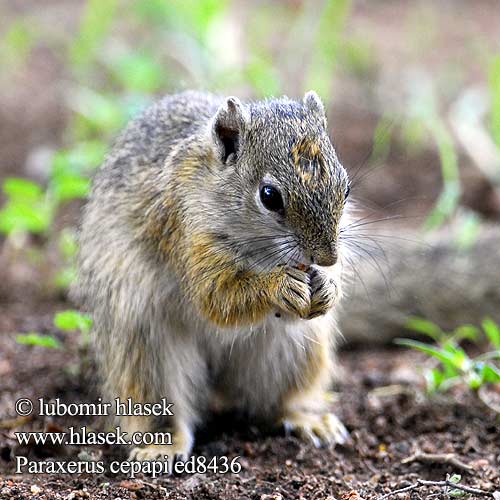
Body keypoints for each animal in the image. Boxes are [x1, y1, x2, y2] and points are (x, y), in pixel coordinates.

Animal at [76, 91, 354, 464]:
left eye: (346, 188)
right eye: (269, 196)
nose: (326, 258)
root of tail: (218, 381)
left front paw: (328, 286)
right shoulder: (184, 232)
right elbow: (215, 298)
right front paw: (278, 287)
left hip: (295, 353)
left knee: (270, 405)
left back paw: (306, 419)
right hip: (145, 349)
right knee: (155, 399)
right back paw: (161, 444)